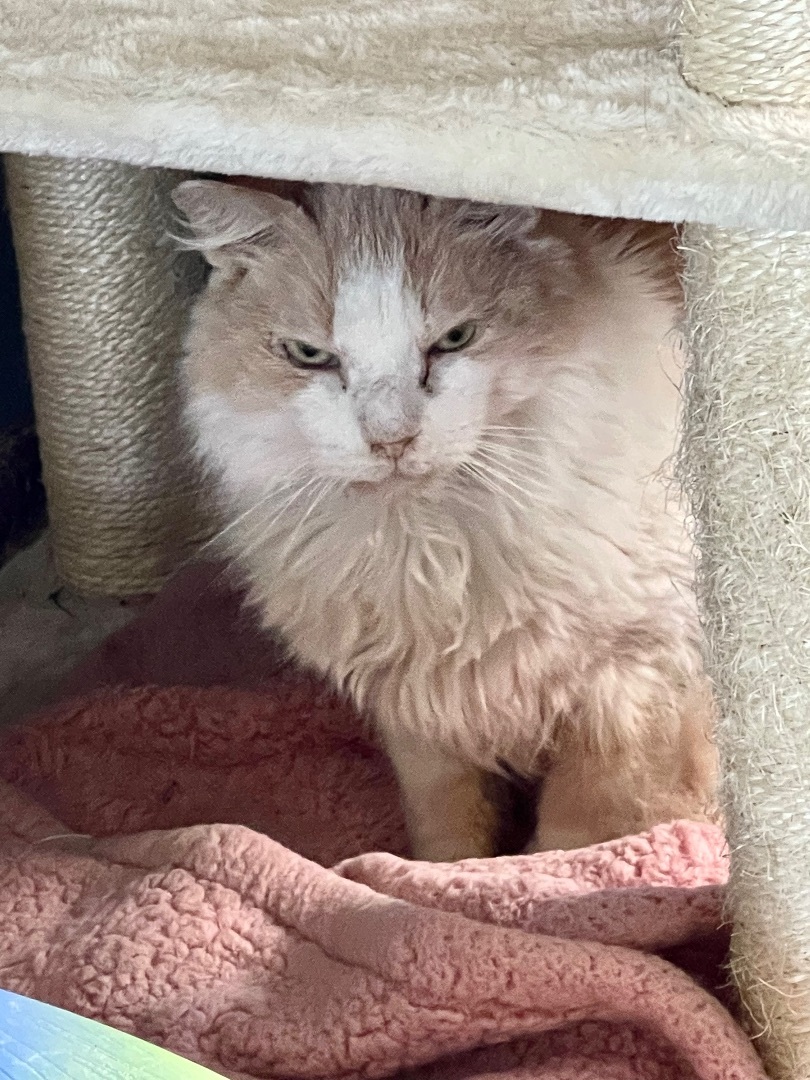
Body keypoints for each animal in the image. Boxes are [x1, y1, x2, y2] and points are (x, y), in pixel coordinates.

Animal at [172, 183, 717, 859]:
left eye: (455, 338)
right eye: (310, 355)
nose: (391, 440)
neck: (432, 552)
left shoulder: (633, 685)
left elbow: (573, 840)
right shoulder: (418, 715)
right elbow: (449, 830)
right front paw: (442, 876)